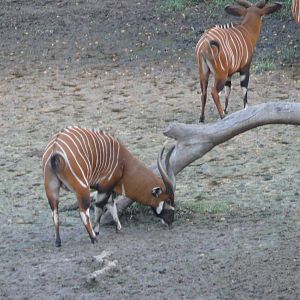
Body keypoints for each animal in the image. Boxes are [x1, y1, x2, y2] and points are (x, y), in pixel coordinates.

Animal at [41, 126, 175, 246]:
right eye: (168, 200)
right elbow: (100, 208)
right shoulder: (104, 188)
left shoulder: (108, 189)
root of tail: (55, 147)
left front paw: (118, 227)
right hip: (82, 188)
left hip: (52, 190)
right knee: (83, 212)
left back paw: (58, 242)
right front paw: (97, 231)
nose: (171, 221)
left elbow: (111, 206)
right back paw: (93, 239)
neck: (124, 163)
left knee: (55, 212)